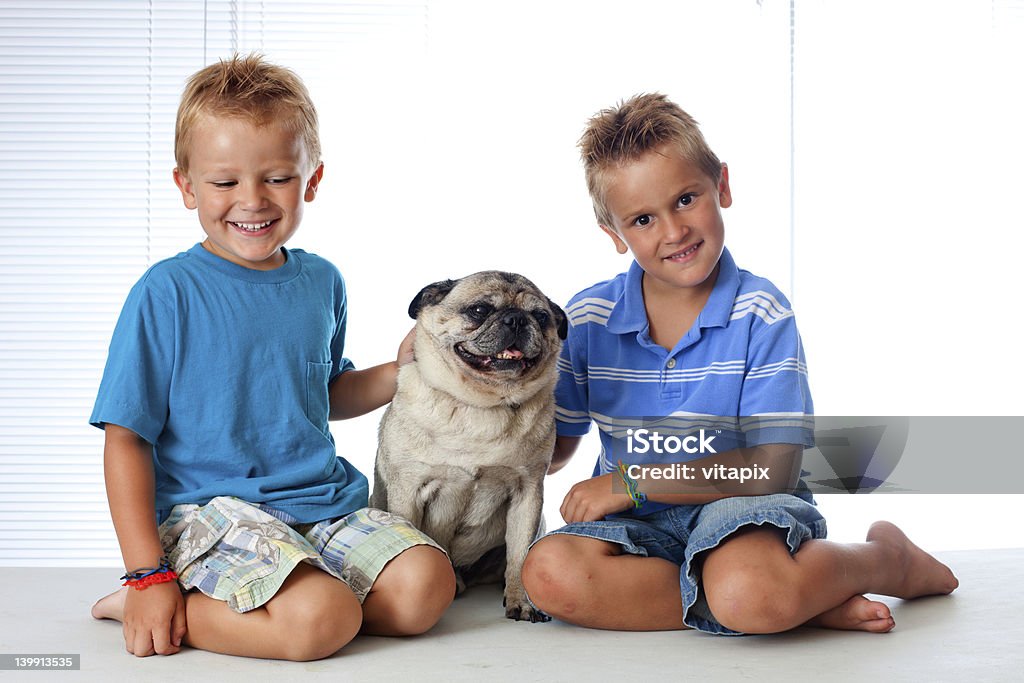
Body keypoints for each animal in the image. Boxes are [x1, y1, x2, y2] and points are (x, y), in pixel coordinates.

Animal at [370, 270, 569, 622]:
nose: (517, 319)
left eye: (542, 317)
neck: (481, 406)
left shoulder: (528, 492)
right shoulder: (408, 489)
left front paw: (522, 601)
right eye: (479, 310)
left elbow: (520, 556)